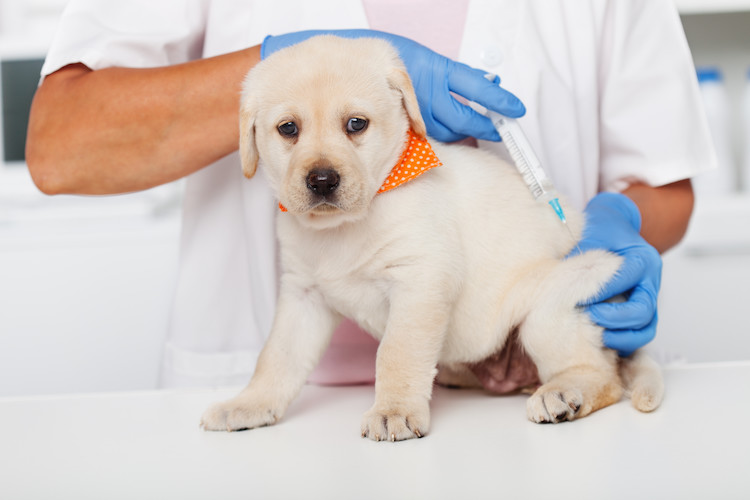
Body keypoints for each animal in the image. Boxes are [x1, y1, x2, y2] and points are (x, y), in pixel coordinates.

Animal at [201, 36, 664, 442]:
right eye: (288, 129)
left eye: (356, 124)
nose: (322, 180)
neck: (349, 224)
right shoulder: (303, 295)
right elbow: (276, 357)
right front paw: (248, 403)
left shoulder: (420, 281)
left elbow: (396, 353)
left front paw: (394, 411)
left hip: (567, 294)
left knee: (603, 375)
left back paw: (565, 393)